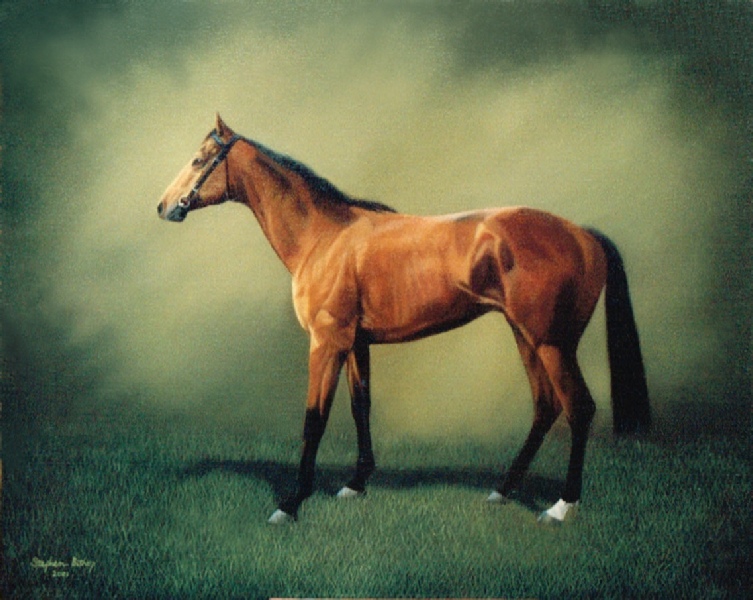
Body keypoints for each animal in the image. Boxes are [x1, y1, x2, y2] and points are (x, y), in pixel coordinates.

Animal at [157, 114, 650, 525]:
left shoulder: (326, 343)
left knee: (579, 408)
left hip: (552, 343)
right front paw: (355, 484)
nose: (164, 206)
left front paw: (292, 503)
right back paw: (503, 490)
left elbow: (314, 419)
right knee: (546, 406)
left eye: (200, 158)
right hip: (525, 337)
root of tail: (584, 234)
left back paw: (562, 506)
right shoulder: (356, 343)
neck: (324, 236)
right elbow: (361, 406)